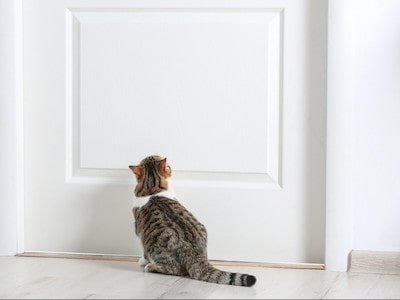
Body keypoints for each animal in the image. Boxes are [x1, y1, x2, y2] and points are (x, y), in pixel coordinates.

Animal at [128, 155, 256, 286]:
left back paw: (150, 266)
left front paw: (142, 261)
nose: (170, 167)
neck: (151, 189)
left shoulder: (140, 233)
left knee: (173, 269)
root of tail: (194, 252)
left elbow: (144, 252)